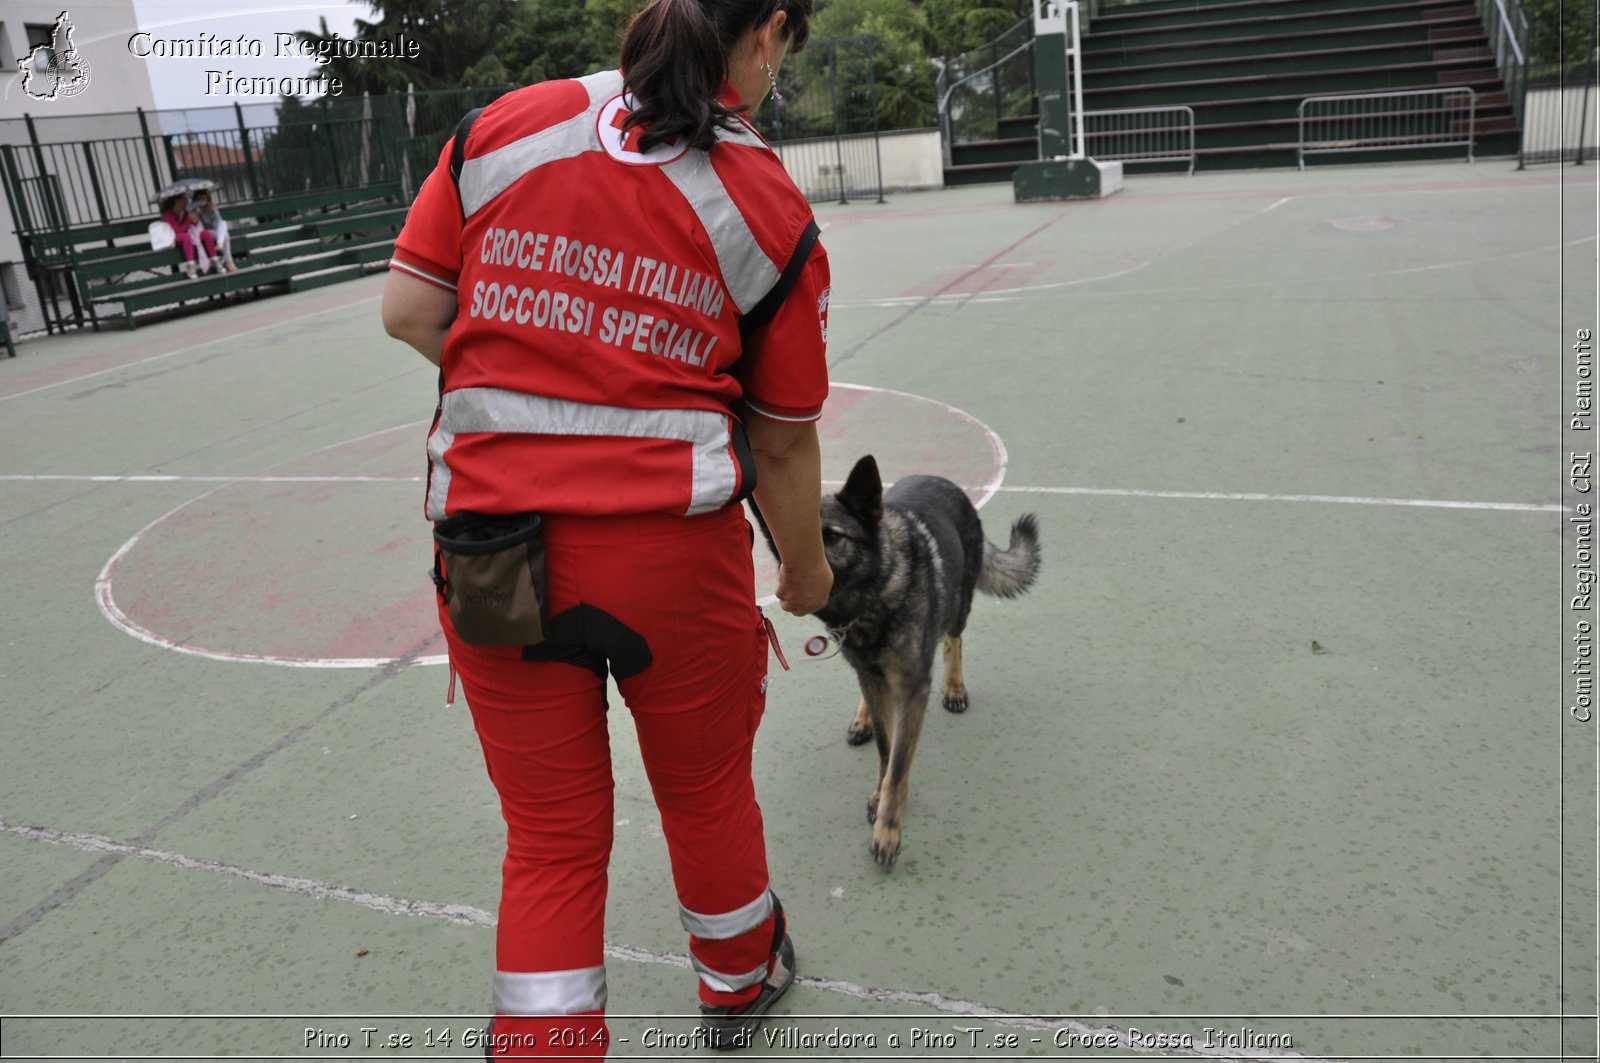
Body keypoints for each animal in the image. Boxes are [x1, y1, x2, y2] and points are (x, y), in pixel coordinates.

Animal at [758, 451, 1036, 870]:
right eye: (788, 545)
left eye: (833, 537)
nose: (795, 589)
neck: (877, 595)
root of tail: (941, 480)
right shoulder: (874, 676)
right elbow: (886, 750)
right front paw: (879, 796)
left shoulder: (911, 690)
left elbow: (899, 765)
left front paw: (887, 831)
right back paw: (863, 718)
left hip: (959, 604)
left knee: (953, 639)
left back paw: (954, 686)